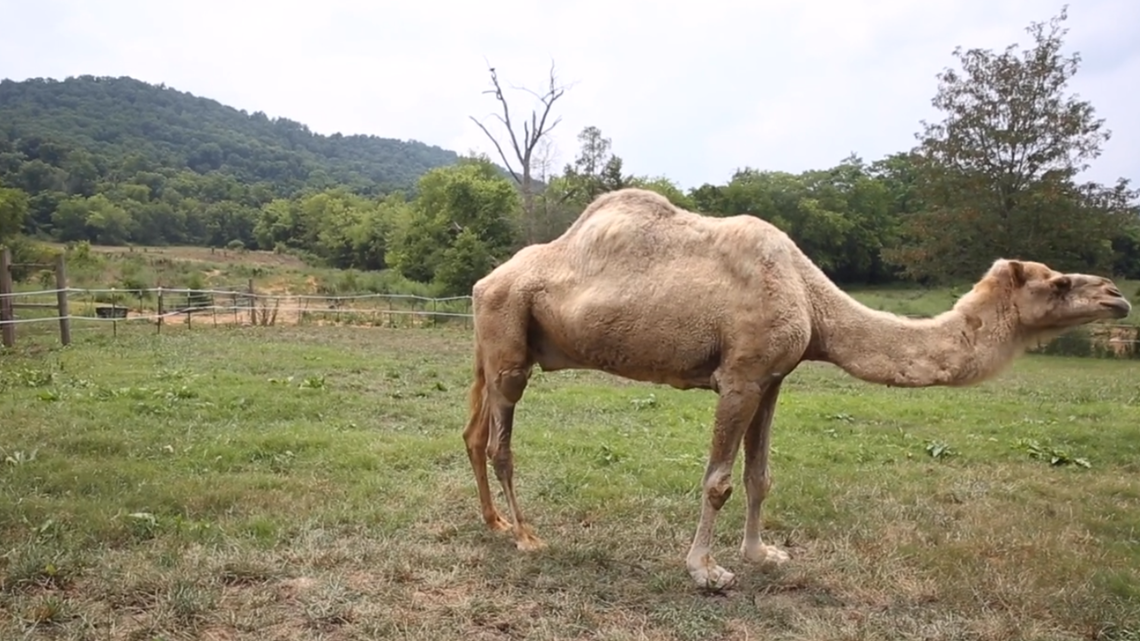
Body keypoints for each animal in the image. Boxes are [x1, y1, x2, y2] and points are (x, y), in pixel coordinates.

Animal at [461, 188, 1132, 590]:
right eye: (1058, 281)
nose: (1116, 295)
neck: (811, 297)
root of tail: (484, 281)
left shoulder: (773, 378)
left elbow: (760, 475)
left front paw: (764, 555)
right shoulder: (739, 375)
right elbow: (720, 481)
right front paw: (706, 571)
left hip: (494, 345)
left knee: (471, 432)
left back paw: (494, 523)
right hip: (511, 345)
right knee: (499, 442)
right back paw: (526, 536)